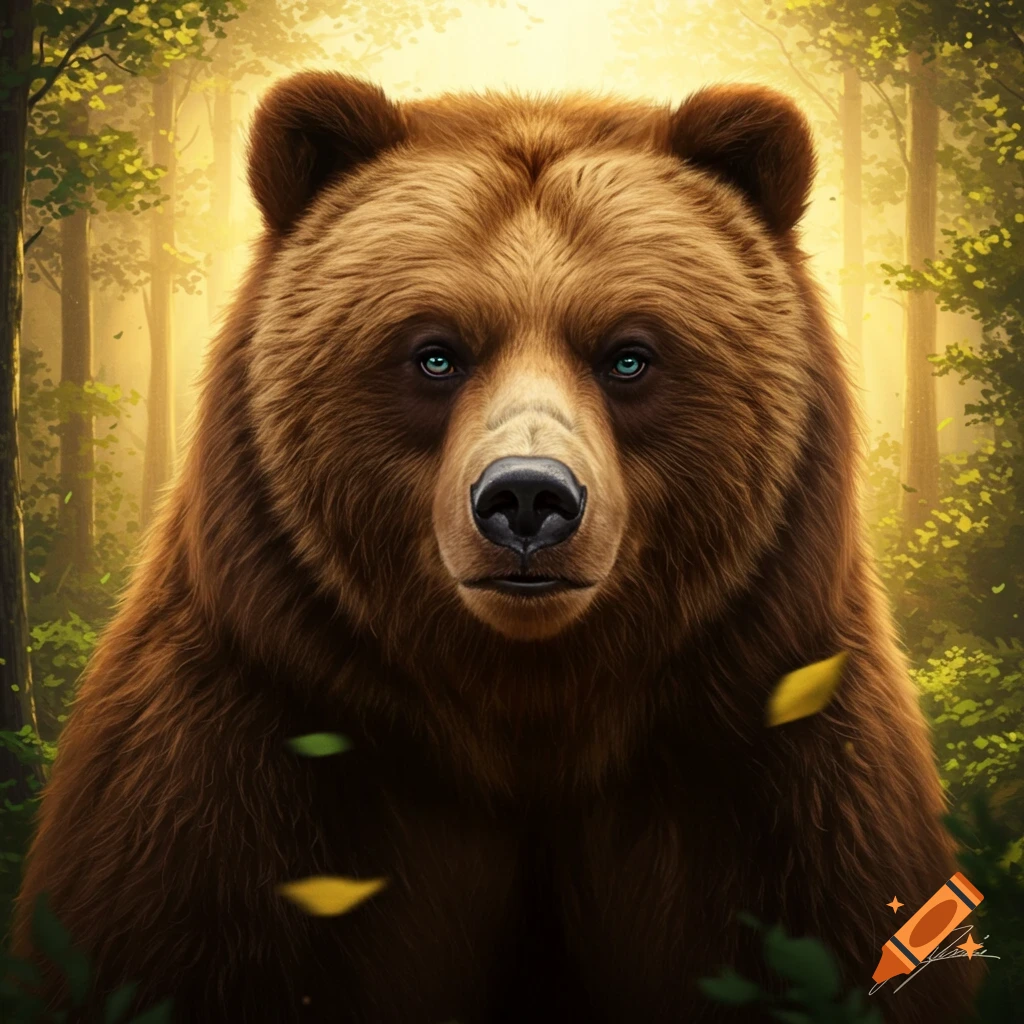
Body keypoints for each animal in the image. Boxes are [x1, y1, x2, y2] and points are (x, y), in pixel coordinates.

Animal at [11, 71, 980, 1024]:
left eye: (630, 354)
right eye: (435, 352)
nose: (527, 498)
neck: (522, 716)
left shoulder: (775, 762)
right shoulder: (239, 755)